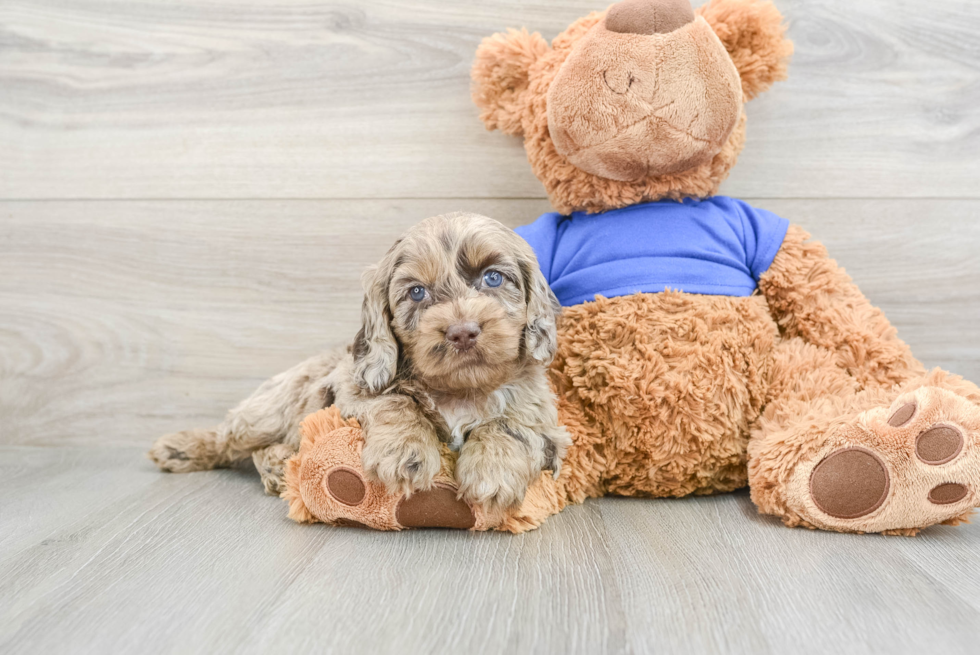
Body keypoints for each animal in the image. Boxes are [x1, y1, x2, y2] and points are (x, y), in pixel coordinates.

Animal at [149, 214, 572, 512]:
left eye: (493, 278)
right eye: (416, 292)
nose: (462, 332)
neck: (460, 390)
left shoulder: (546, 423)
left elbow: (509, 425)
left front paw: (492, 471)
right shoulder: (352, 387)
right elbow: (396, 400)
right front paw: (405, 452)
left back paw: (277, 464)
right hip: (267, 412)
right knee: (228, 438)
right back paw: (182, 448)